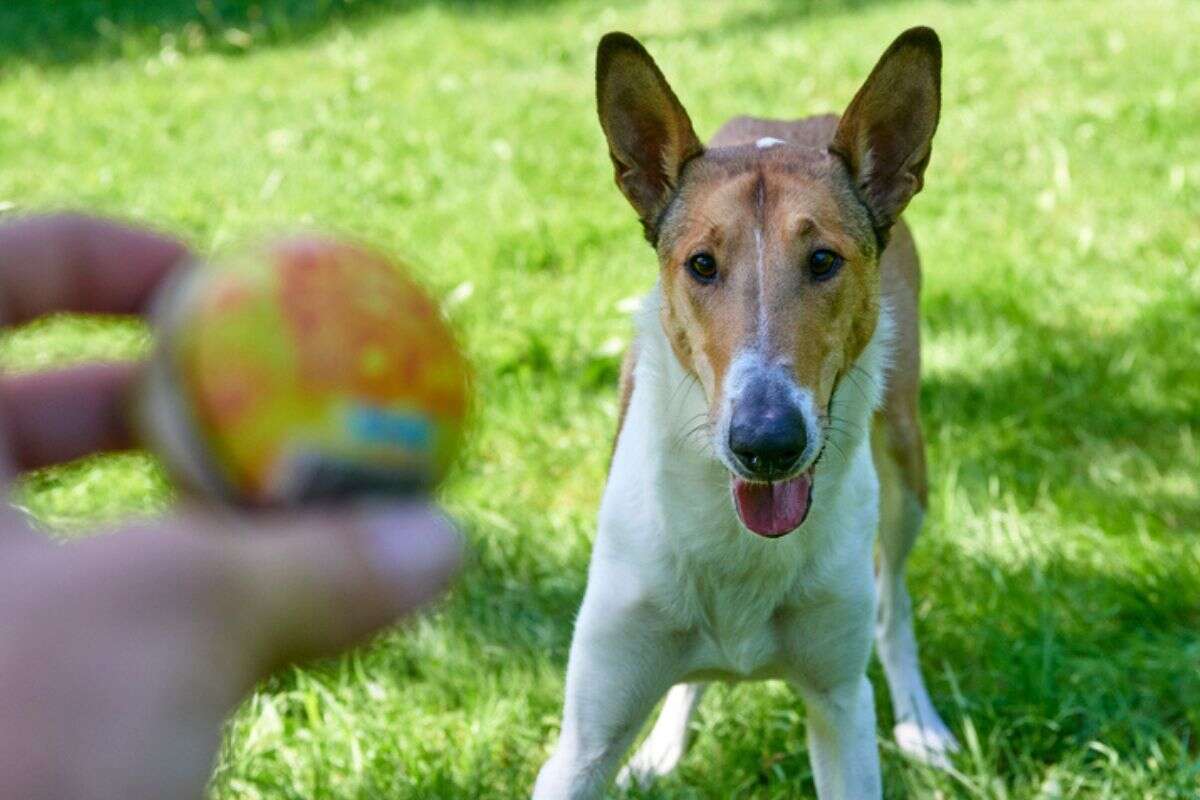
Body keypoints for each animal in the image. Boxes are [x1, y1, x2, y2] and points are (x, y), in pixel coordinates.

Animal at [535, 28, 955, 796]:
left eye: (823, 260)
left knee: (893, 604)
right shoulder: (583, 741)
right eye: (701, 264)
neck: (739, 551)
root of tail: (787, 120)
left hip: (906, 464)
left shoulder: (841, 710)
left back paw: (921, 720)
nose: (767, 443)